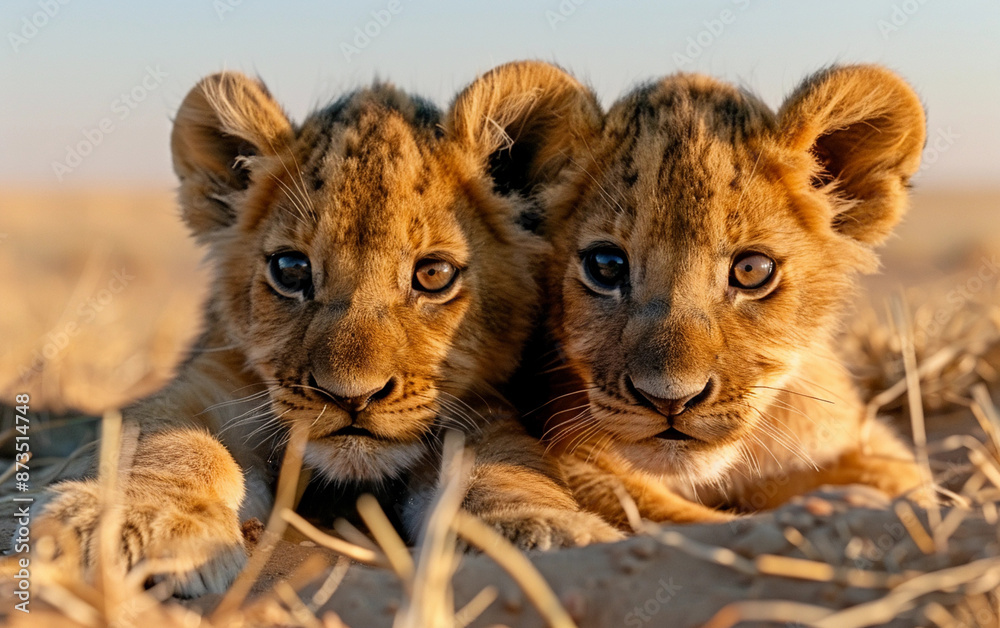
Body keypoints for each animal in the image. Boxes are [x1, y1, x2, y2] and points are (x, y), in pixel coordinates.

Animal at [30, 61, 618, 597]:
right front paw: (131, 526)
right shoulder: (207, 385)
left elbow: (504, 467)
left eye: (433, 275)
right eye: (291, 270)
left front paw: (543, 535)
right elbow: (165, 442)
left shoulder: (480, 410)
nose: (350, 397)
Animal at [531, 65, 929, 526]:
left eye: (751, 270)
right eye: (607, 265)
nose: (670, 399)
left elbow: (907, 478)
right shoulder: (576, 459)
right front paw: (831, 506)